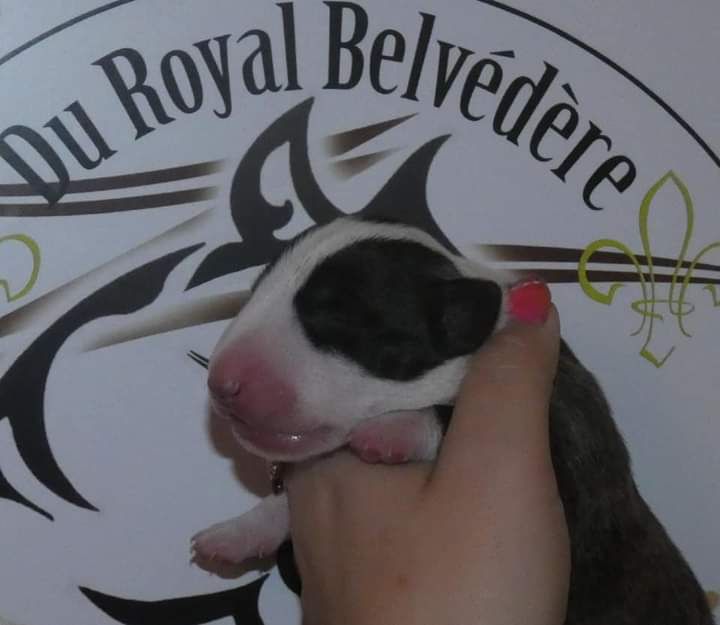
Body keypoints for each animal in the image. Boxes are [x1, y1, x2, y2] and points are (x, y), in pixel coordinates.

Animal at [192, 217, 714, 624]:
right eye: (254, 292)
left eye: (335, 318)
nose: (220, 382)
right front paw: (240, 531)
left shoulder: (568, 447)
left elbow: (442, 413)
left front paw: (395, 428)